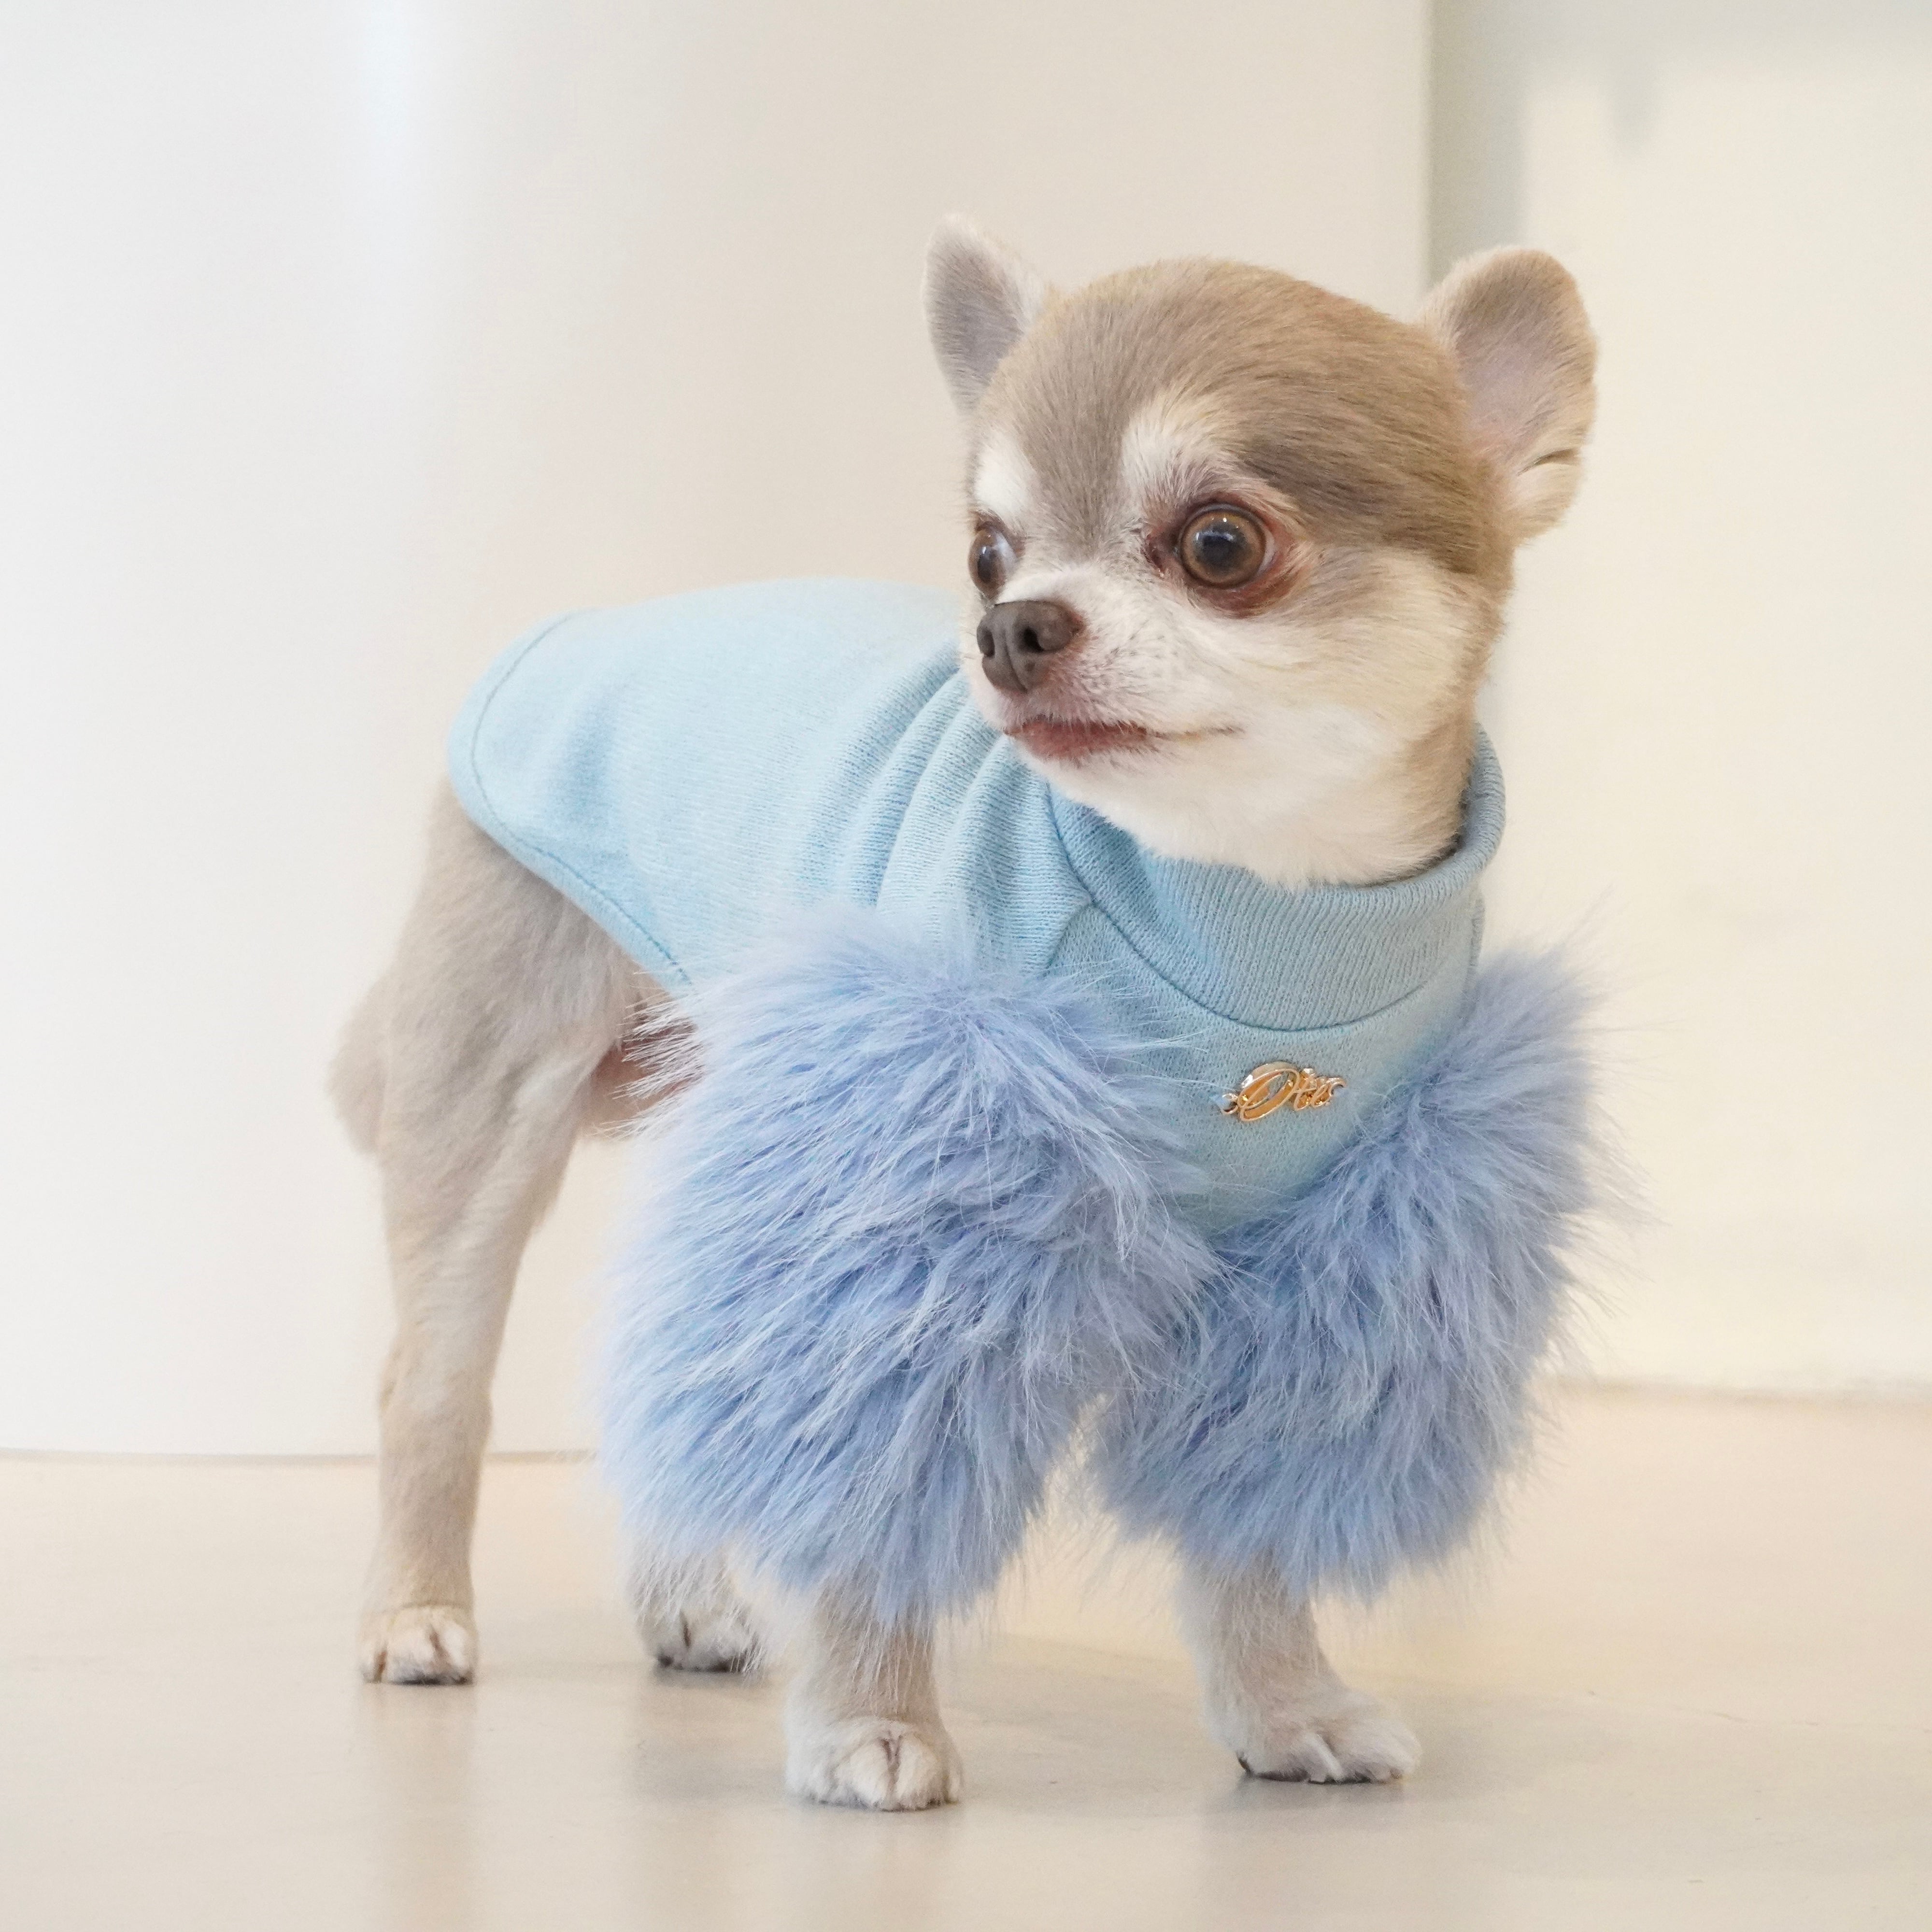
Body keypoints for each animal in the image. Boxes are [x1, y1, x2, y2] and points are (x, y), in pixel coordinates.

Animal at [333, 218, 1598, 1811]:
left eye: (1221, 545)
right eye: (987, 551)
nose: (1011, 626)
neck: (1249, 910)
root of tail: (580, 628)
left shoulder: (1319, 1256)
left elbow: (1252, 1513)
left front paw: (1284, 1700)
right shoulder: (913, 1205)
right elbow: (873, 1481)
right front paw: (870, 1721)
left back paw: (681, 1599)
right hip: (493, 1088)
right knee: (428, 1382)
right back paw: (415, 1610)